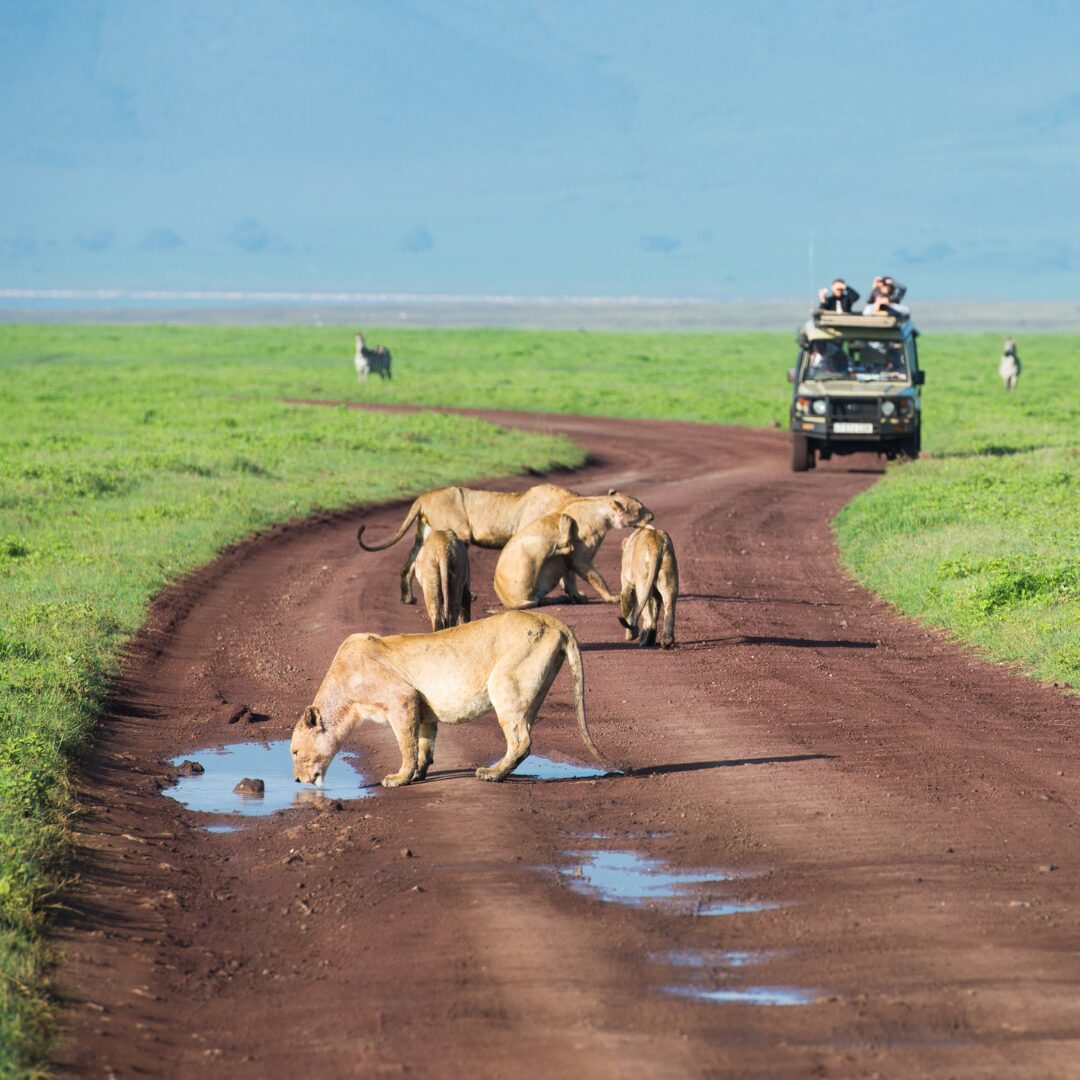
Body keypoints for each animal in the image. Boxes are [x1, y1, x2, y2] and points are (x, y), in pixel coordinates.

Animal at [290, 610, 626, 788]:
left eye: (294, 752)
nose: (296, 780)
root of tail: (551, 619)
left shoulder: (401, 697)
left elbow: (406, 744)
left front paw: (399, 778)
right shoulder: (422, 707)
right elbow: (423, 744)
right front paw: (419, 773)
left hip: (504, 683)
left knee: (521, 741)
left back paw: (492, 774)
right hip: (532, 691)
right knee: (524, 734)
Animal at [356, 483, 576, 604]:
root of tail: (422, 498)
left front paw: (575, 594)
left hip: (424, 533)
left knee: (407, 566)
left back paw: (408, 599)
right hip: (458, 531)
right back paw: (467, 596)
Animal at [494, 491, 653, 609]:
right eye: (640, 509)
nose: (652, 517)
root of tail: (507, 600)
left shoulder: (568, 563)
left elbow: (570, 578)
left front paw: (576, 596)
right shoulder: (579, 558)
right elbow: (597, 578)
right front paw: (611, 597)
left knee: (539, 600)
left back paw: (559, 598)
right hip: (533, 542)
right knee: (560, 546)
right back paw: (565, 524)